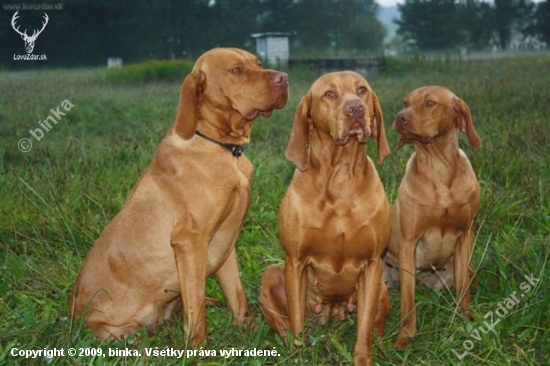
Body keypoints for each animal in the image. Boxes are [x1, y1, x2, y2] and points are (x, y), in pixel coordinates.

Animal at [70, 48, 288, 346]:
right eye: (236, 70)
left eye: (259, 63)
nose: (284, 78)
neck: (223, 149)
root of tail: (73, 317)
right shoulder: (189, 243)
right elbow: (196, 314)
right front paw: (198, 350)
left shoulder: (226, 244)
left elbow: (238, 299)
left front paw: (254, 337)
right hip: (120, 333)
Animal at [262, 72, 392, 366]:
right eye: (329, 94)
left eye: (361, 90)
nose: (356, 109)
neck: (340, 177)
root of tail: (332, 316)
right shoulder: (295, 262)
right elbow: (297, 324)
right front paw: (300, 356)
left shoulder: (373, 263)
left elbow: (364, 331)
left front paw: (363, 358)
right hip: (271, 275)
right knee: (285, 327)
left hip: (382, 286)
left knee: (376, 329)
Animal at [384, 84, 484, 348]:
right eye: (405, 103)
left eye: (430, 103)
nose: (399, 117)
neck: (438, 169)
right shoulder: (409, 242)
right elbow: (408, 302)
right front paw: (405, 336)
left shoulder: (464, 236)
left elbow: (463, 291)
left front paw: (467, 320)